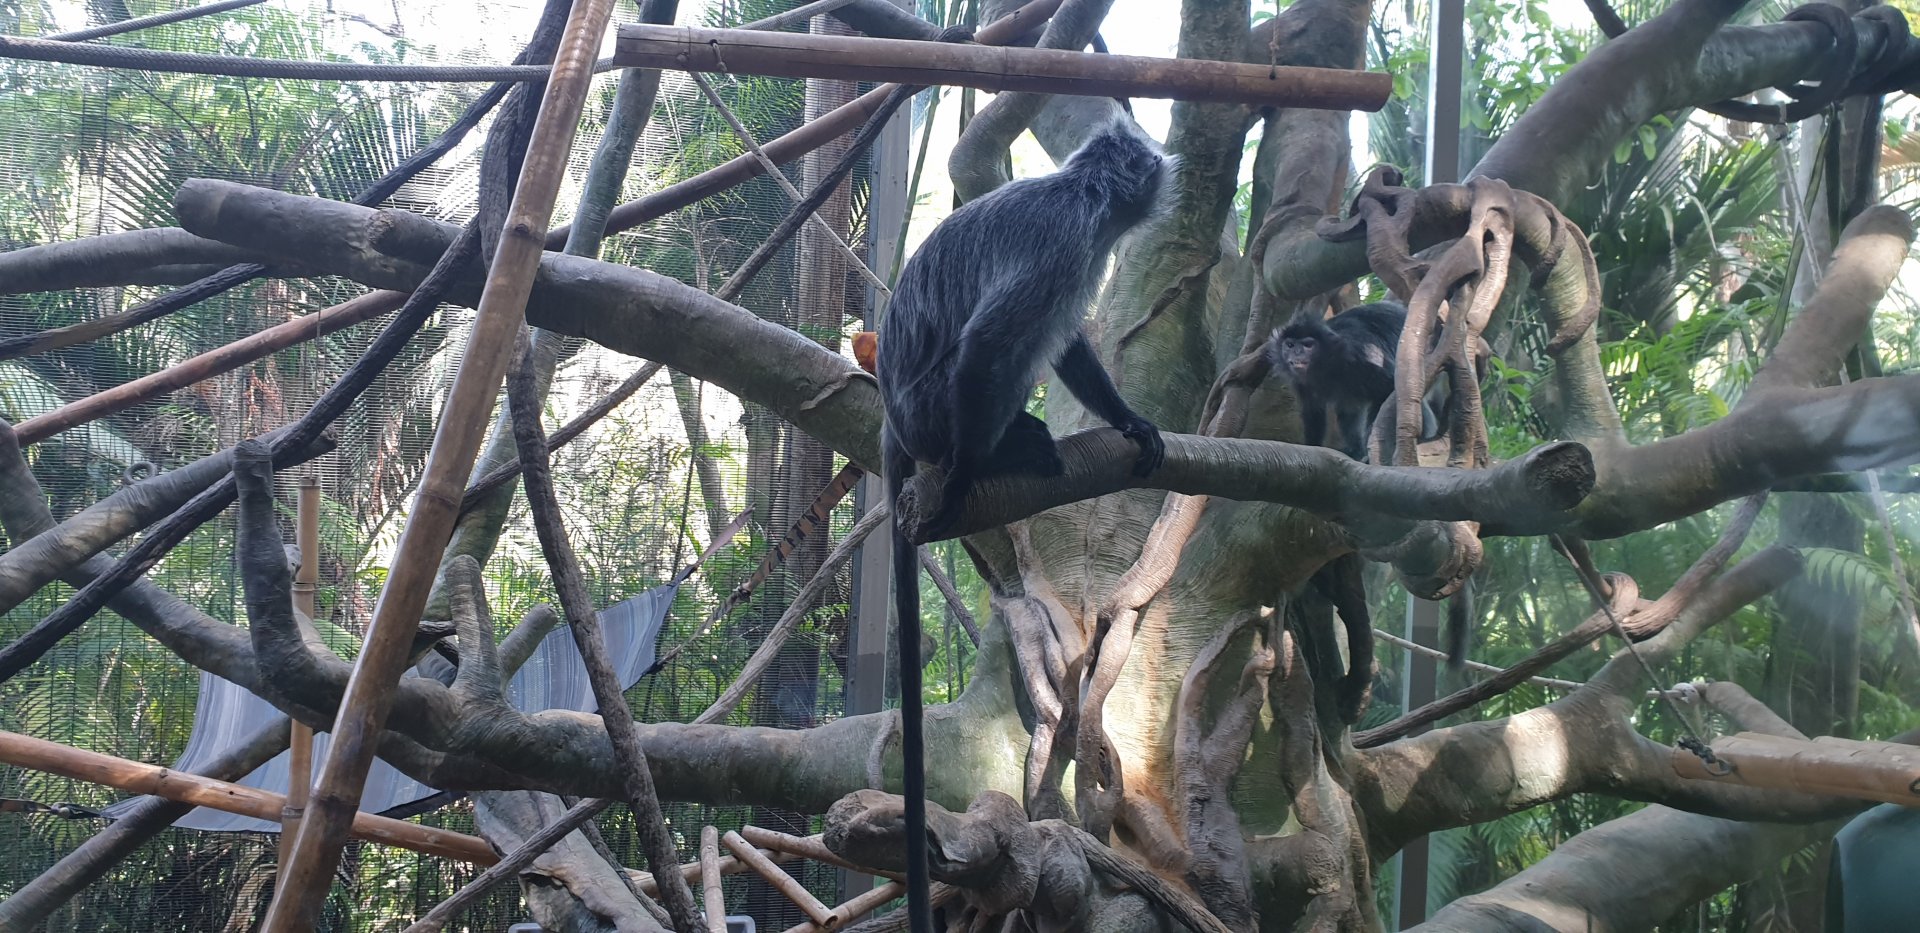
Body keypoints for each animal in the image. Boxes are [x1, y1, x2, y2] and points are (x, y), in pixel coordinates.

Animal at [875, 120, 1172, 933]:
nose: (1161, 168)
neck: (1080, 193)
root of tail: (893, 417)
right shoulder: (1067, 244)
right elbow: (990, 342)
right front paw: (970, 475)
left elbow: (1069, 347)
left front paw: (1131, 419)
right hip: (935, 408)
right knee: (995, 357)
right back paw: (996, 452)